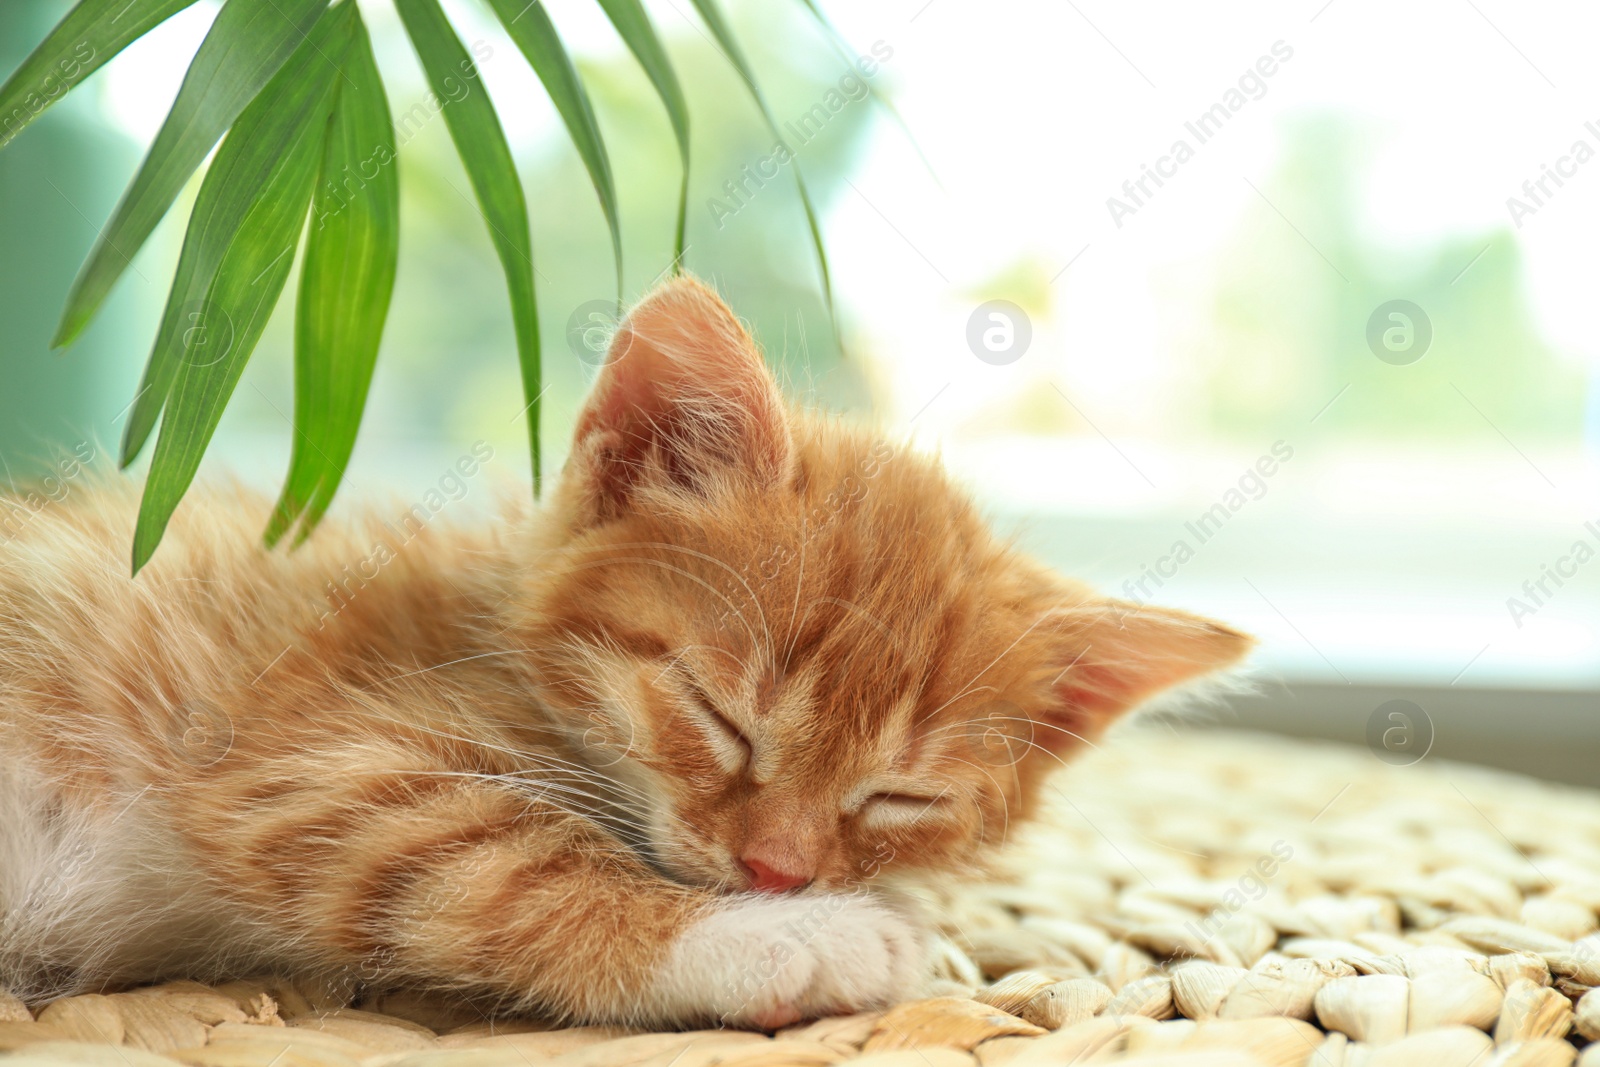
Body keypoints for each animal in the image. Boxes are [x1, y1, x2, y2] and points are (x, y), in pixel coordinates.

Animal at [0, 279, 1248, 1030]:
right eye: (716, 711)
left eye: (903, 795)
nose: (777, 870)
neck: (496, 635)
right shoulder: (294, 759)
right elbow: (511, 865)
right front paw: (805, 937)